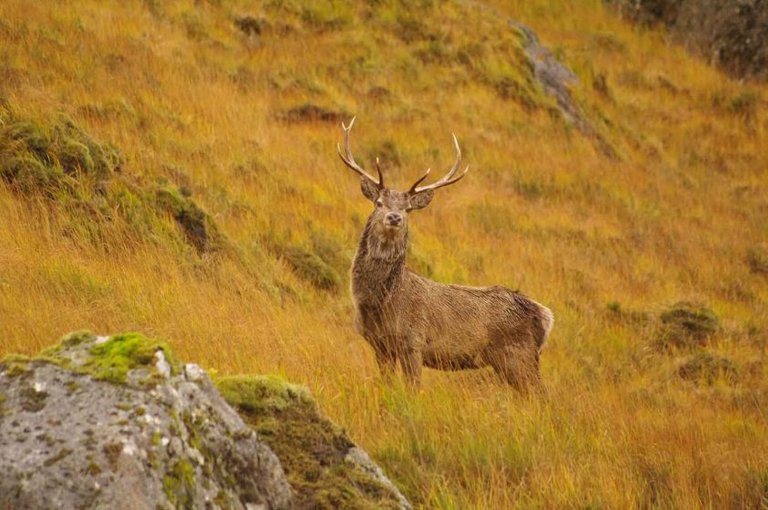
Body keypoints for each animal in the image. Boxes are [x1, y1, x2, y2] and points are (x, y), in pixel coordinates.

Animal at [336, 117, 552, 392]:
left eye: (408, 208)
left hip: (519, 356)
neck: (381, 304)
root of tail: (545, 316)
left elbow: (413, 390)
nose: (394, 217)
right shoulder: (380, 346)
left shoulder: (414, 341)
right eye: (379, 203)